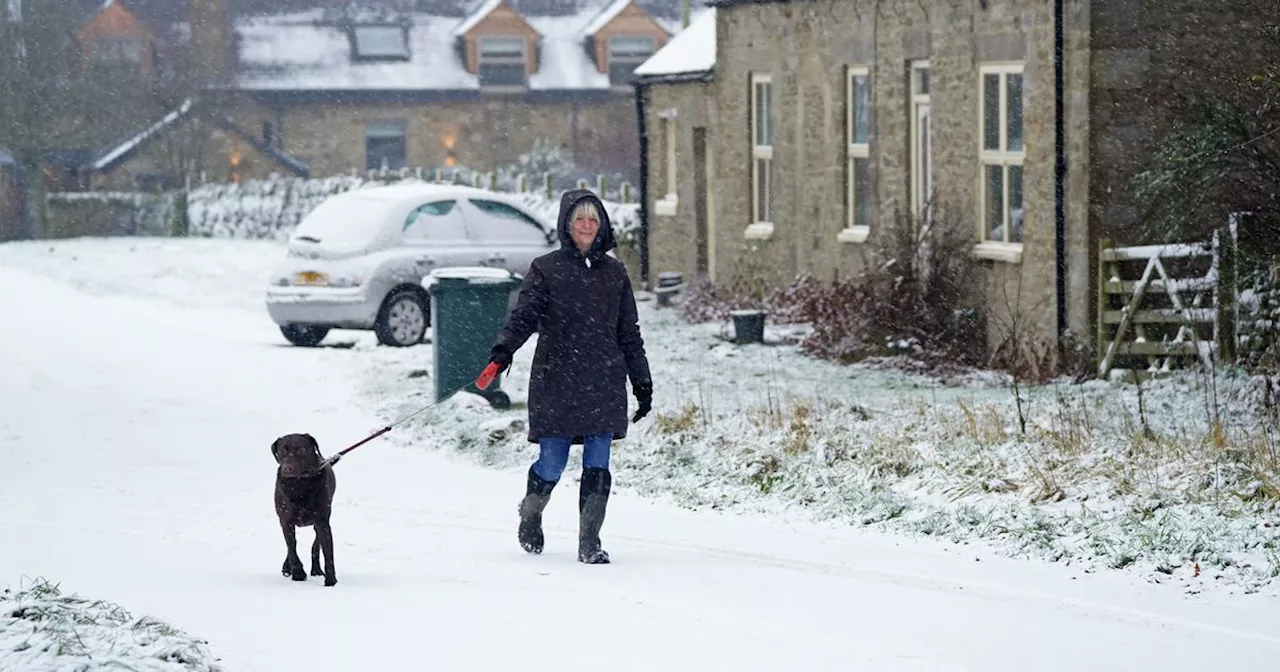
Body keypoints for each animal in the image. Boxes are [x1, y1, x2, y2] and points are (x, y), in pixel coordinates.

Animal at [272, 432, 337, 583]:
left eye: (301, 450)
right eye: (283, 450)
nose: (287, 468)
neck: (299, 484)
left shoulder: (322, 522)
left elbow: (328, 554)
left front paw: (331, 581)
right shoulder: (285, 521)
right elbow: (291, 548)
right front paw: (298, 574)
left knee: (315, 546)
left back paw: (316, 569)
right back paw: (287, 567)